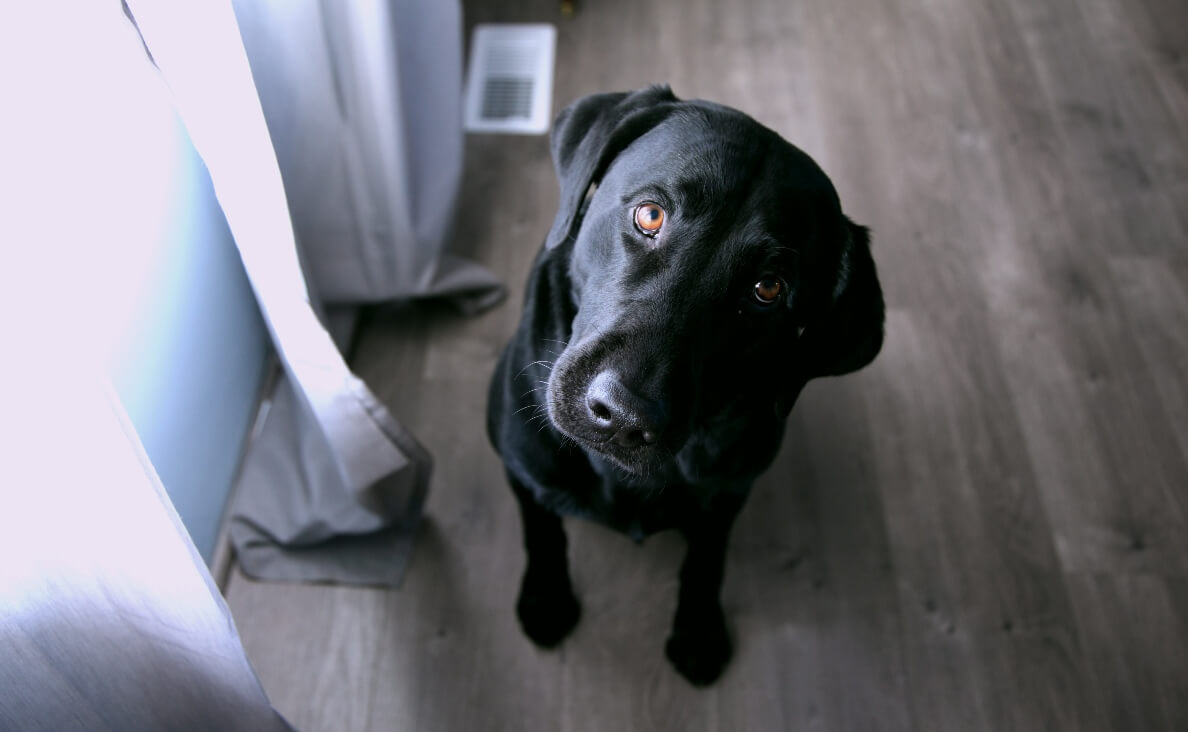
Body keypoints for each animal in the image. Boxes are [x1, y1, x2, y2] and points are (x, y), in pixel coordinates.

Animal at [487, 87, 888, 684]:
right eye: (650, 214)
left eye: (767, 288)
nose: (623, 416)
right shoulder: (520, 461)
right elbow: (541, 525)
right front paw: (547, 598)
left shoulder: (730, 491)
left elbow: (706, 557)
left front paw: (699, 630)